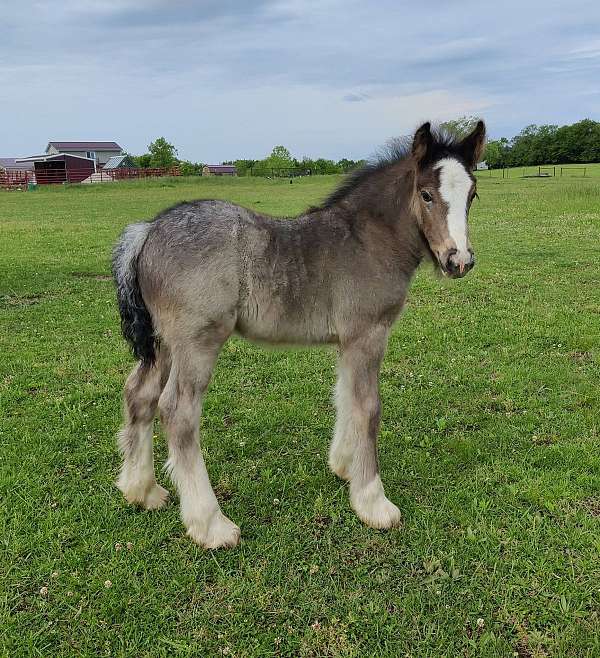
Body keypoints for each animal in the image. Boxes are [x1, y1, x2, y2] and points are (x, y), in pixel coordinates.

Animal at [111, 121, 486, 548]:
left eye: (472, 194)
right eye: (426, 194)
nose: (459, 260)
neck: (369, 240)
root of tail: (147, 230)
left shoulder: (348, 341)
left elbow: (345, 397)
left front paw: (344, 466)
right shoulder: (368, 333)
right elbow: (368, 407)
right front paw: (373, 502)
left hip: (164, 344)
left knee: (139, 395)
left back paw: (141, 491)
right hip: (197, 343)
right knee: (178, 411)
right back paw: (211, 525)